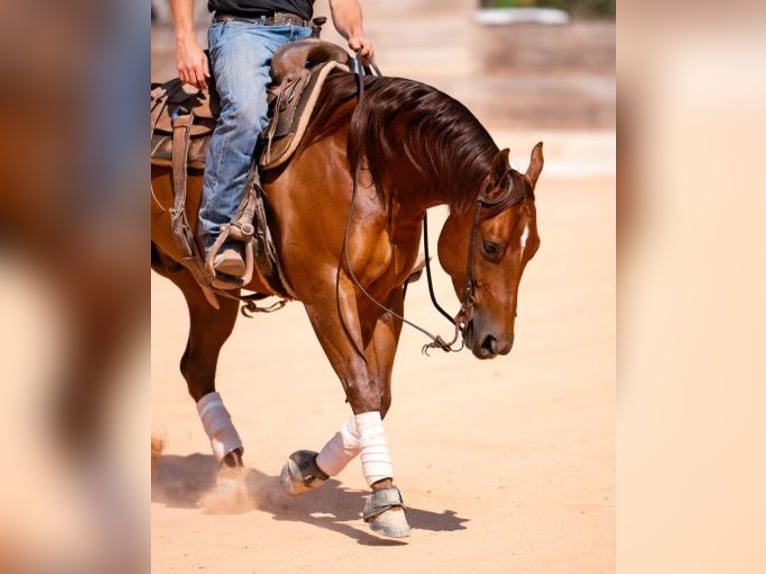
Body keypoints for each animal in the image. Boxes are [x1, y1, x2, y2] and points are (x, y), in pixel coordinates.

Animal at [150, 70, 543, 538]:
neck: (369, 168)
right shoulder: (326, 294)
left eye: (534, 249)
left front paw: (303, 470)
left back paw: (232, 479)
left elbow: (379, 395)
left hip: (204, 289)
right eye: (491, 245)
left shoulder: (385, 297)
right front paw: (385, 499)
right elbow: (361, 387)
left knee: (196, 367)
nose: (496, 342)